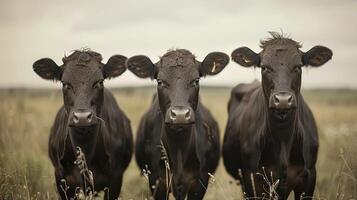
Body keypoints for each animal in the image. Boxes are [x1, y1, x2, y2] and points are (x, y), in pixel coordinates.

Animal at [126, 49, 229, 199]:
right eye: (160, 81)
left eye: (196, 80)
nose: (180, 115)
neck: (179, 148)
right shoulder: (157, 181)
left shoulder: (200, 182)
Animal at [221, 32, 332, 198]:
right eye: (264, 67)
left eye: (298, 66)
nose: (283, 100)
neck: (283, 141)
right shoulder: (251, 179)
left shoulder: (309, 176)